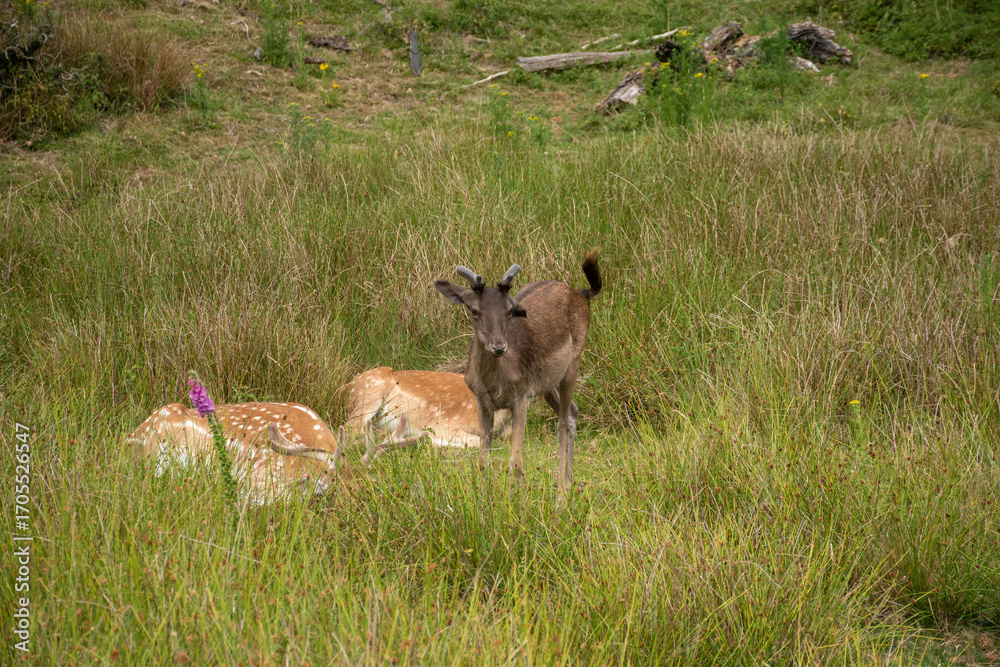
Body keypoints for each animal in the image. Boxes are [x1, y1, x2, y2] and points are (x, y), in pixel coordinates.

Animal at [434, 251, 602, 496]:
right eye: (474, 310)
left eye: (509, 311)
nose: (499, 347)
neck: (495, 384)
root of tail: (581, 292)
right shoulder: (482, 401)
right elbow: (483, 461)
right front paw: (485, 497)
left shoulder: (521, 396)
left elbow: (516, 462)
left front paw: (518, 500)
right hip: (547, 382)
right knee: (572, 411)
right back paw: (569, 482)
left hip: (574, 361)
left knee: (562, 422)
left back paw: (562, 493)